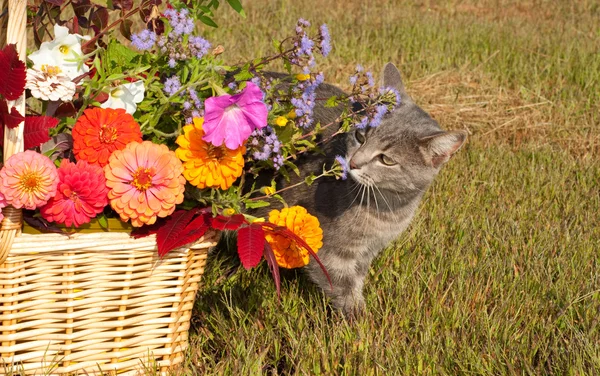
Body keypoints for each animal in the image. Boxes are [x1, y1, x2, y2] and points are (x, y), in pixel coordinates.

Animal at [255, 63, 466, 316]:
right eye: (360, 136)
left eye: (386, 160)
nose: (353, 163)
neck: (386, 208)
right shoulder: (331, 251)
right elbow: (344, 288)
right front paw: (360, 320)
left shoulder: (367, 251)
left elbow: (357, 278)